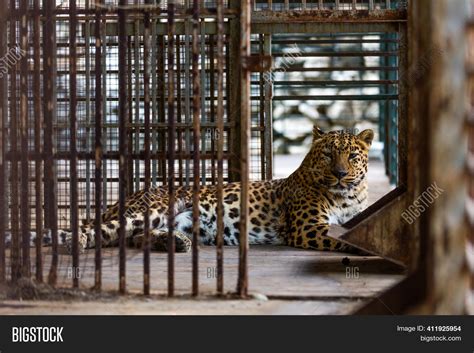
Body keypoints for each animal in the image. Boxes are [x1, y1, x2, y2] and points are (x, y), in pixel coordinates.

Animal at [55, 126, 372, 253]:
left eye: (352, 156)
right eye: (328, 155)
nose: (340, 174)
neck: (347, 197)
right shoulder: (308, 227)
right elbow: (343, 238)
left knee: (134, 238)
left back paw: (174, 242)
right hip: (153, 208)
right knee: (99, 230)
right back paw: (74, 243)